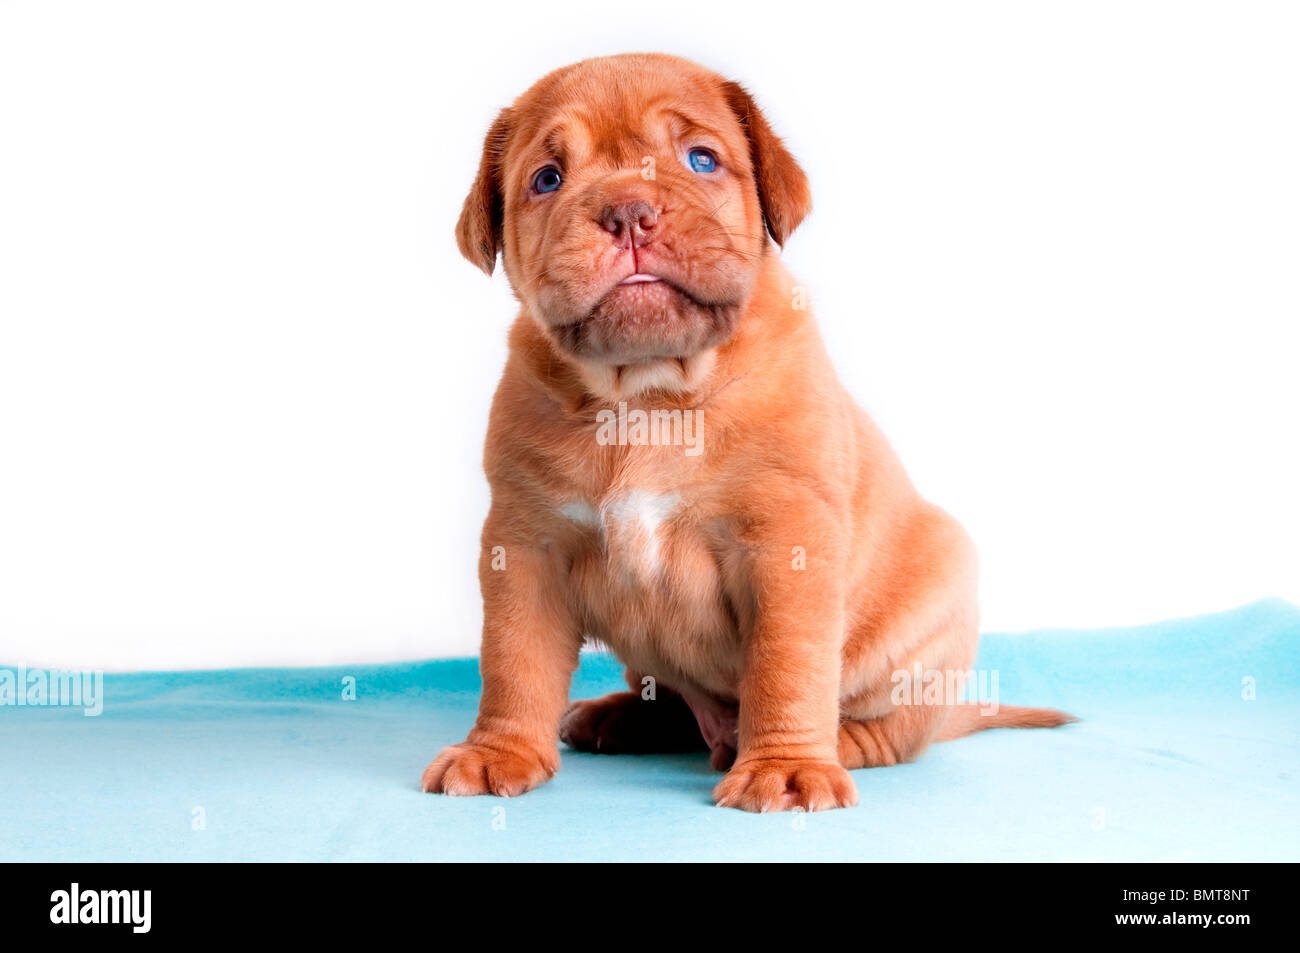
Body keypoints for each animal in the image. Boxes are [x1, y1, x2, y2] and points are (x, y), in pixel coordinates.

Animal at [426, 52, 1076, 811]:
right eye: (547, 179)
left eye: (701, 159)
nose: (629, 211)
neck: (647, 392)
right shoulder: (527, 545)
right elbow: (513, 659)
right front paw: (498, 750)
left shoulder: (787, 545)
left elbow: (786, 666)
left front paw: (787, 766)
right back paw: (624, 716)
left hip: (935, 607)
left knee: (893, 730)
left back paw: (837, 746)